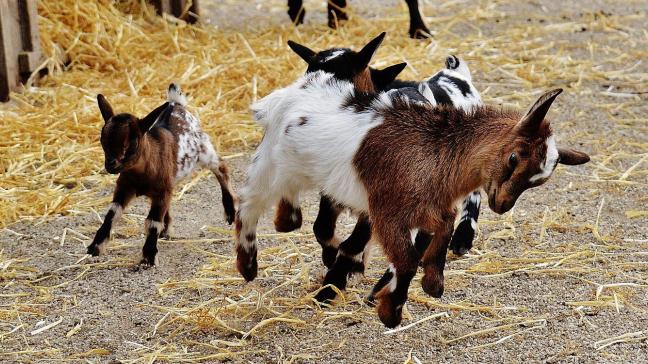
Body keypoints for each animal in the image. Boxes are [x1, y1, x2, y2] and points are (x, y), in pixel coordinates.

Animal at [240, 72, 588, 328]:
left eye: (538, 181)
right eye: (514, 157)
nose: (502, 205)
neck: (434, 154)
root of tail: (295, 90)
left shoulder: (430, 209)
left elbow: (441, 231)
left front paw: (432, 282)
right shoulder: (387, 213)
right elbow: (406, 259)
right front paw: (390, 310)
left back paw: (291, 223)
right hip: (272, 165)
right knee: (249, 204)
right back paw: (248, 263)